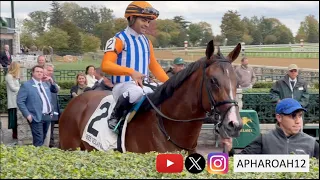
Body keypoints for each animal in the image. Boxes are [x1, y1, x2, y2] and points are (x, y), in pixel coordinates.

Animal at [59, 40, 242, 154]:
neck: (167, 126)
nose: (234, 124)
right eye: (213, 81)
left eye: (237, 80)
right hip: (70, 148)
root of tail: (75, 101)